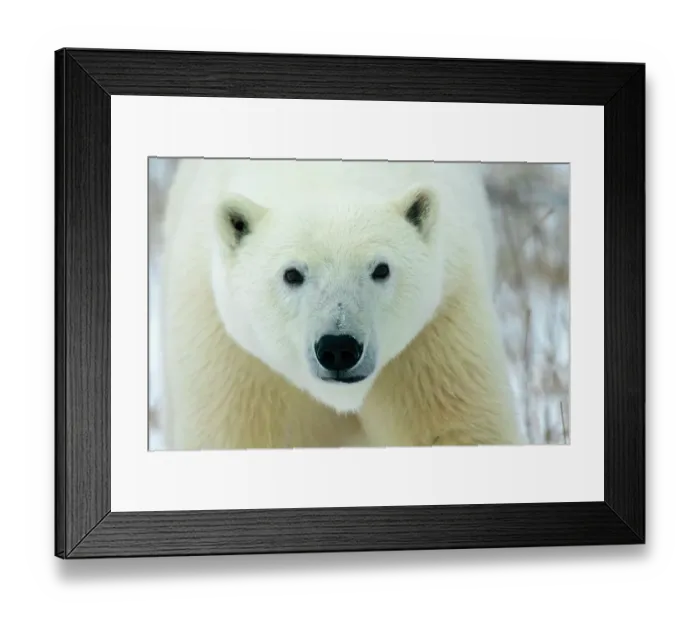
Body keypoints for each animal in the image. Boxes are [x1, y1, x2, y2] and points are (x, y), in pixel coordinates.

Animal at [158, 158, 523, 450]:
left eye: (380, 269)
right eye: (292, 274)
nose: (338, 348)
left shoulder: (437, 335)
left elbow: (455, 430)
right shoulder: (234, 359)